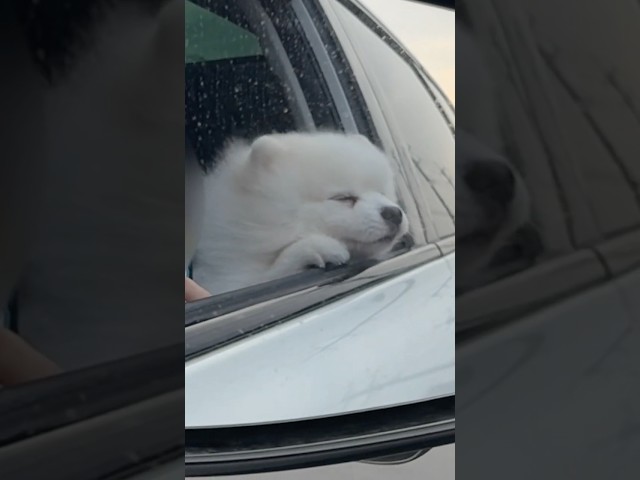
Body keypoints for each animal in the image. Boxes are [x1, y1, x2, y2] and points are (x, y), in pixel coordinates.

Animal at [192, 132, 408, 296]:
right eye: (343, 198)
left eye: (383, 193)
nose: (394, 213)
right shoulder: (226, 277)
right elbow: (269, 275)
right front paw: (317, 247)